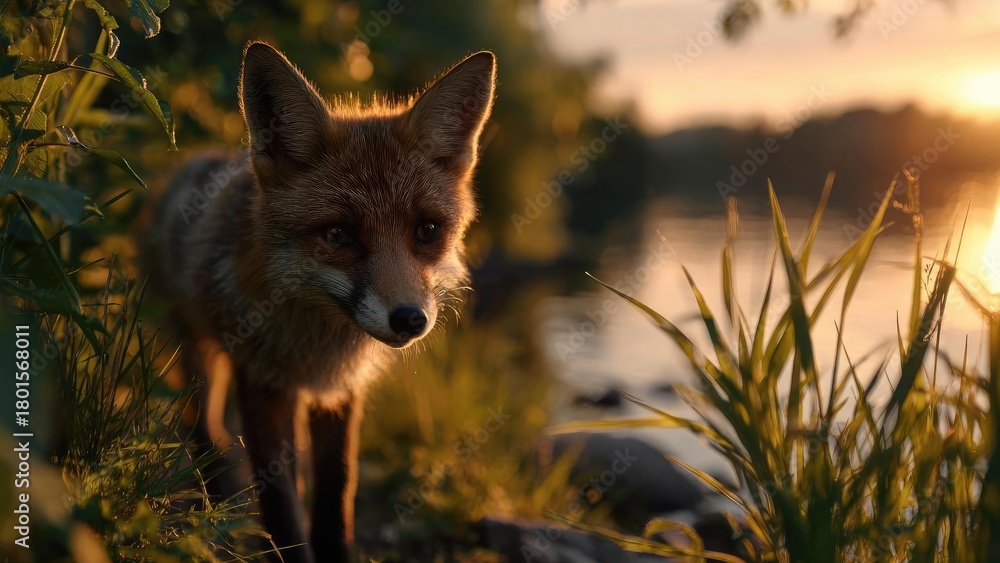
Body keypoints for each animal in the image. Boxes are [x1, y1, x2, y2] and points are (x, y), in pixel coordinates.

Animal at [150, 42, 496, 561]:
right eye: (338, 235)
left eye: (427, 230)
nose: (410, 319)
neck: (316, 342)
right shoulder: (261, 380)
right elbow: (280, 500)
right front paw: (288, 549)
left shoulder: (341, 389)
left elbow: (337, 489)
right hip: (201, 351)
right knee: (202, 424)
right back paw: (217, 489)